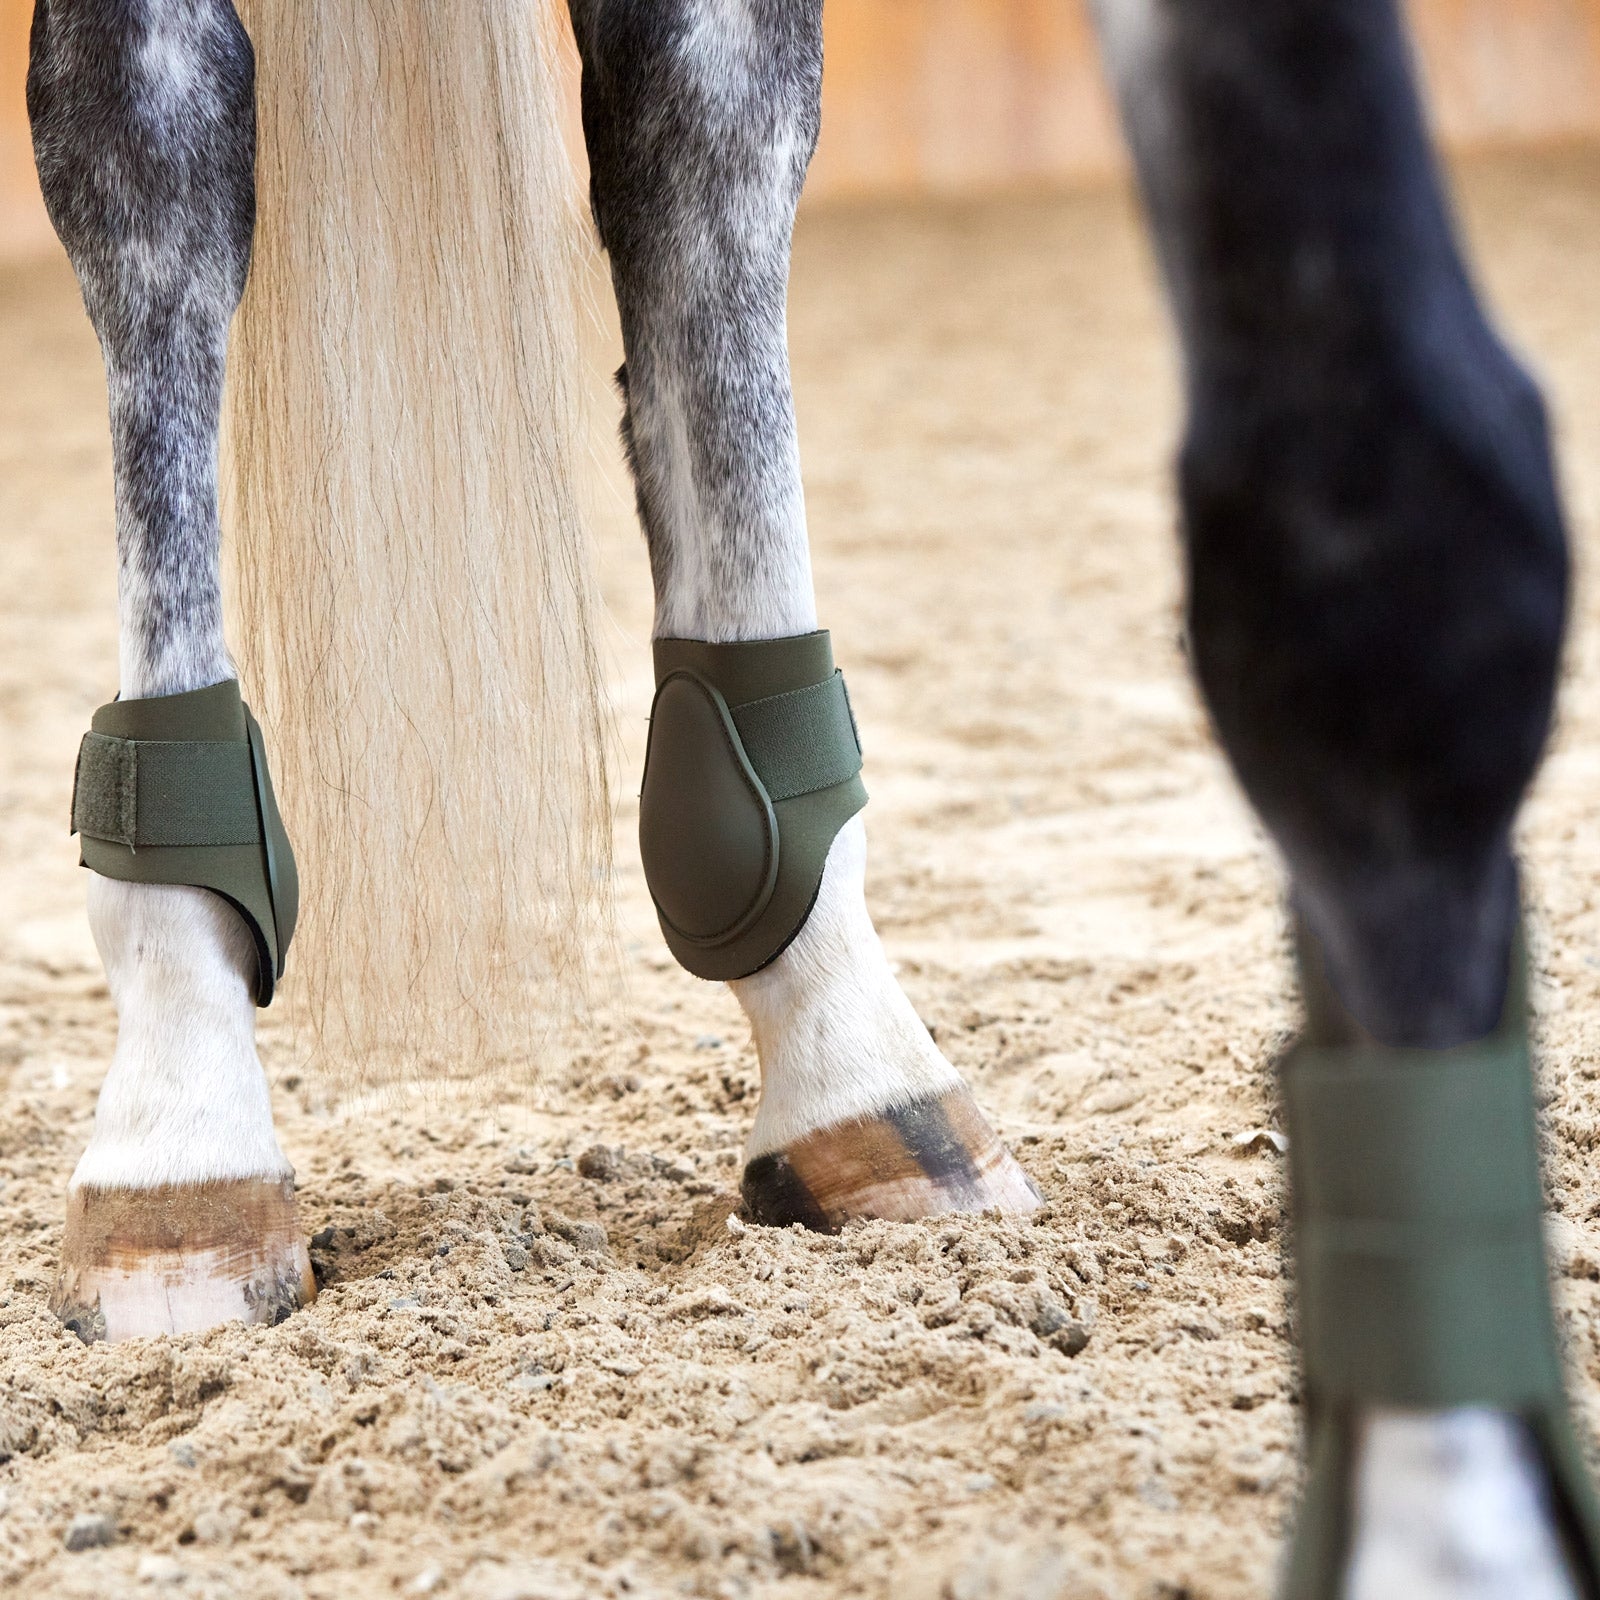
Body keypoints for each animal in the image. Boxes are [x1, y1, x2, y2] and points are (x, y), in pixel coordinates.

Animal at [22, 0, 1600, 1594]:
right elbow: (144, 159)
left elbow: (1381, 523)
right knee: (151, 180)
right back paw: (186, 1136)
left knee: (697, 144)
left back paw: (863, 1063)